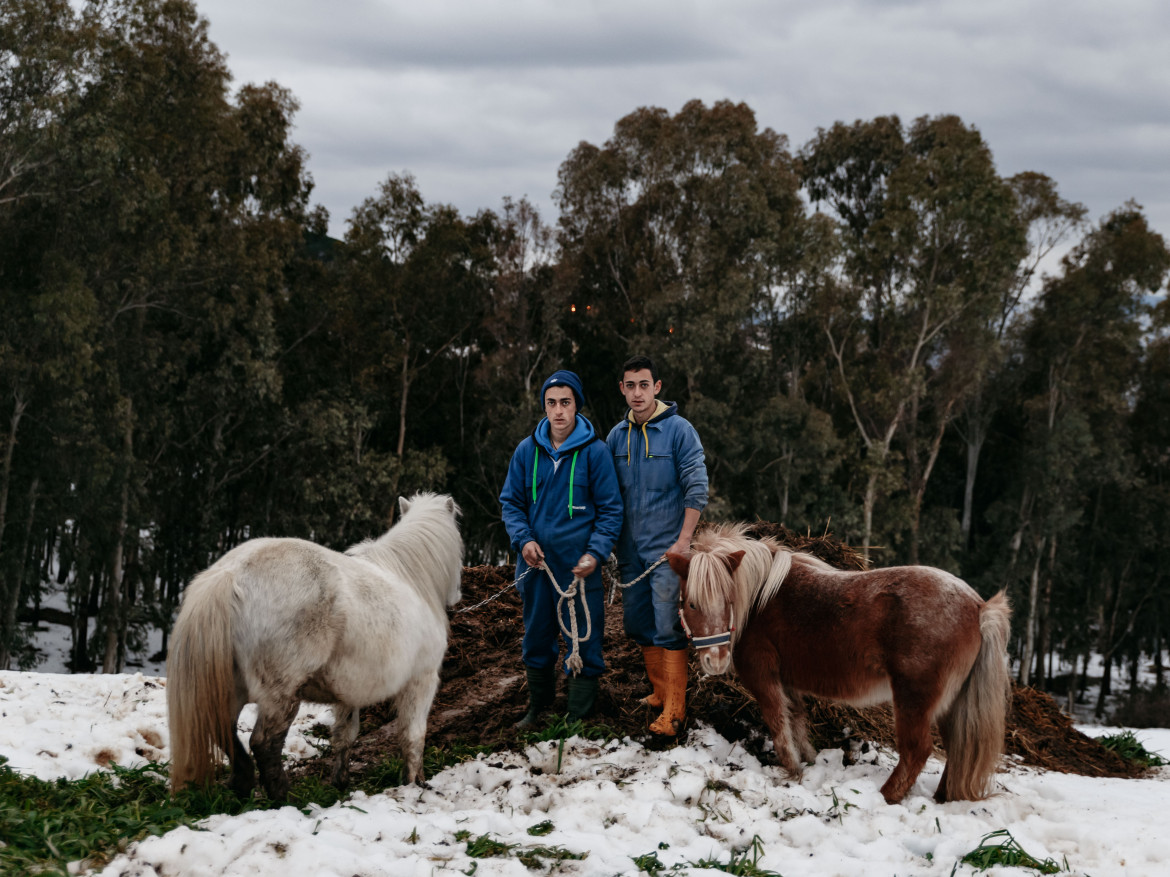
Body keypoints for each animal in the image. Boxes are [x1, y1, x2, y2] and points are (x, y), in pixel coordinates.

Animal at [169, 495, 460, 804]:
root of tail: (233, 572)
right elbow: (413, 736)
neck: (411, 580)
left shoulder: (350, 694)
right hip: (281, 695)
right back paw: (282, 797)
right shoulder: (421, 681)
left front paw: (341, 782)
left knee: (223, 730)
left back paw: (242, 785)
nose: (457, 595)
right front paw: (416, 783)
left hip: (232, 688)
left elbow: (345, 735)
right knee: (263, 743)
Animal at [673, 526, 1010, 809]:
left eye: (728, 600)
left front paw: (791, 770)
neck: (759, 600)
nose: (715, 660)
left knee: (917, 751)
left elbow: (778, 723)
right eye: (691, 603)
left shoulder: (763, 676)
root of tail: (979, 607)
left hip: (913, 700)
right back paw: (942, 797)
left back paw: (885, 797)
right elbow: (796, 720)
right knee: (957, 748)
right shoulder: (787, 680)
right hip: (951, 705)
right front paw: (809, 763)